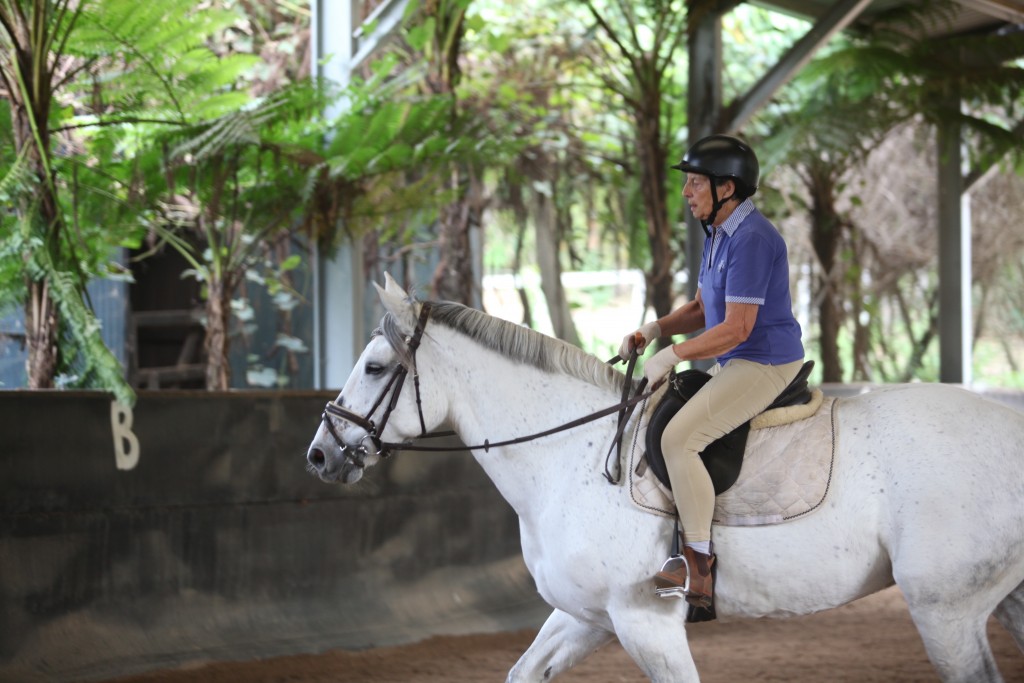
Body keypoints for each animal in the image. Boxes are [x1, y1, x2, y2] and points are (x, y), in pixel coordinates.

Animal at [305, 274, 1024, 683]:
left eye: (375, 367)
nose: (319, 454)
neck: (567, 453)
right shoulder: (588, 616)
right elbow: (522, 671)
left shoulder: (645, 622)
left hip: (945, 607)